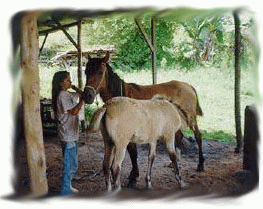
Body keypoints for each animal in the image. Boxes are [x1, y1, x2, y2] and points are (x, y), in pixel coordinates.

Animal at [83, 51, 205, 187]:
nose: (87, 95)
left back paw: (200, 164)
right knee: (179, 137)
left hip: (191, 120)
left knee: (198, 137)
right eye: (86, 72)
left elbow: (133, 153)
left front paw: (134, 177)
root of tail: (188, 85)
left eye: (100, 72)